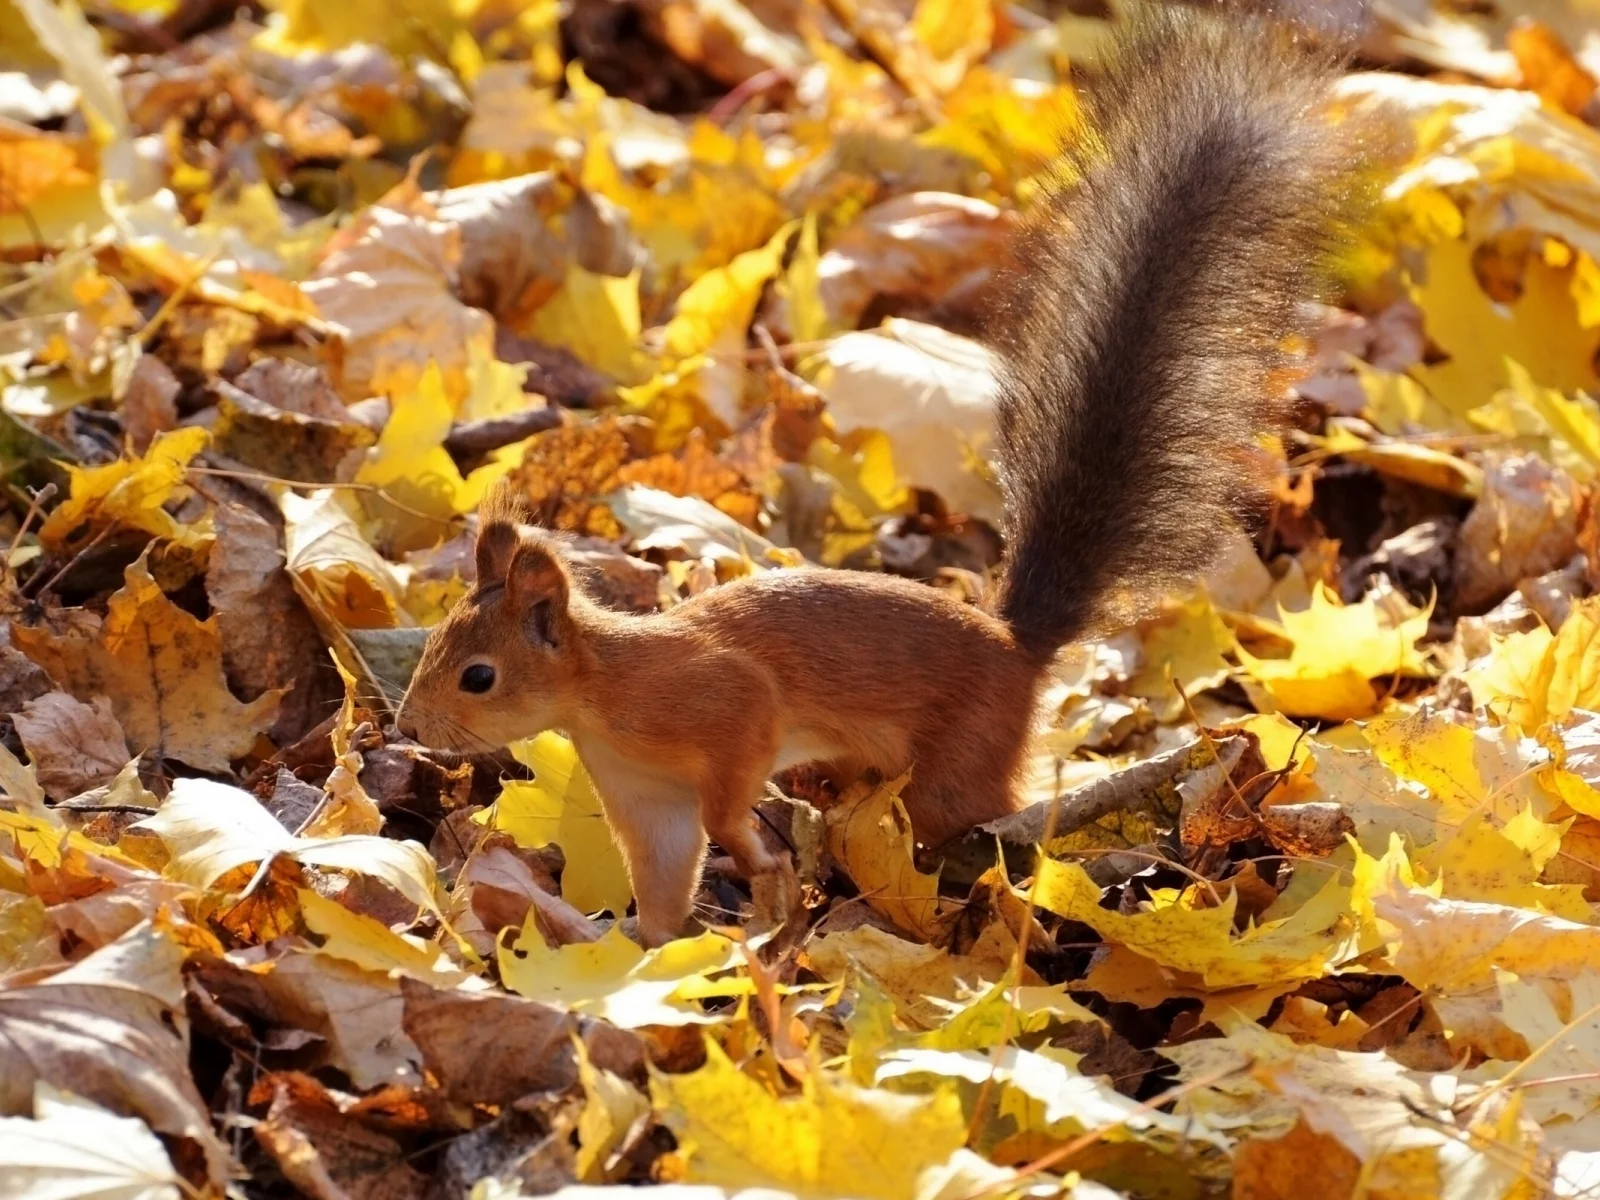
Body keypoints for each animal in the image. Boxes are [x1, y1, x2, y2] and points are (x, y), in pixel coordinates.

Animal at [396, 7, 1376, 947]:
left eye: (478, 675)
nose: (407, 730)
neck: (603, 692)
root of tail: (1016, 648)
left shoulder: (725, 705)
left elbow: (732, 786)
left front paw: (753, 856)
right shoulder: (646, 796)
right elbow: (665, 874)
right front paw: (643, 949)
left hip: (955, 763)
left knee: (980, 823)